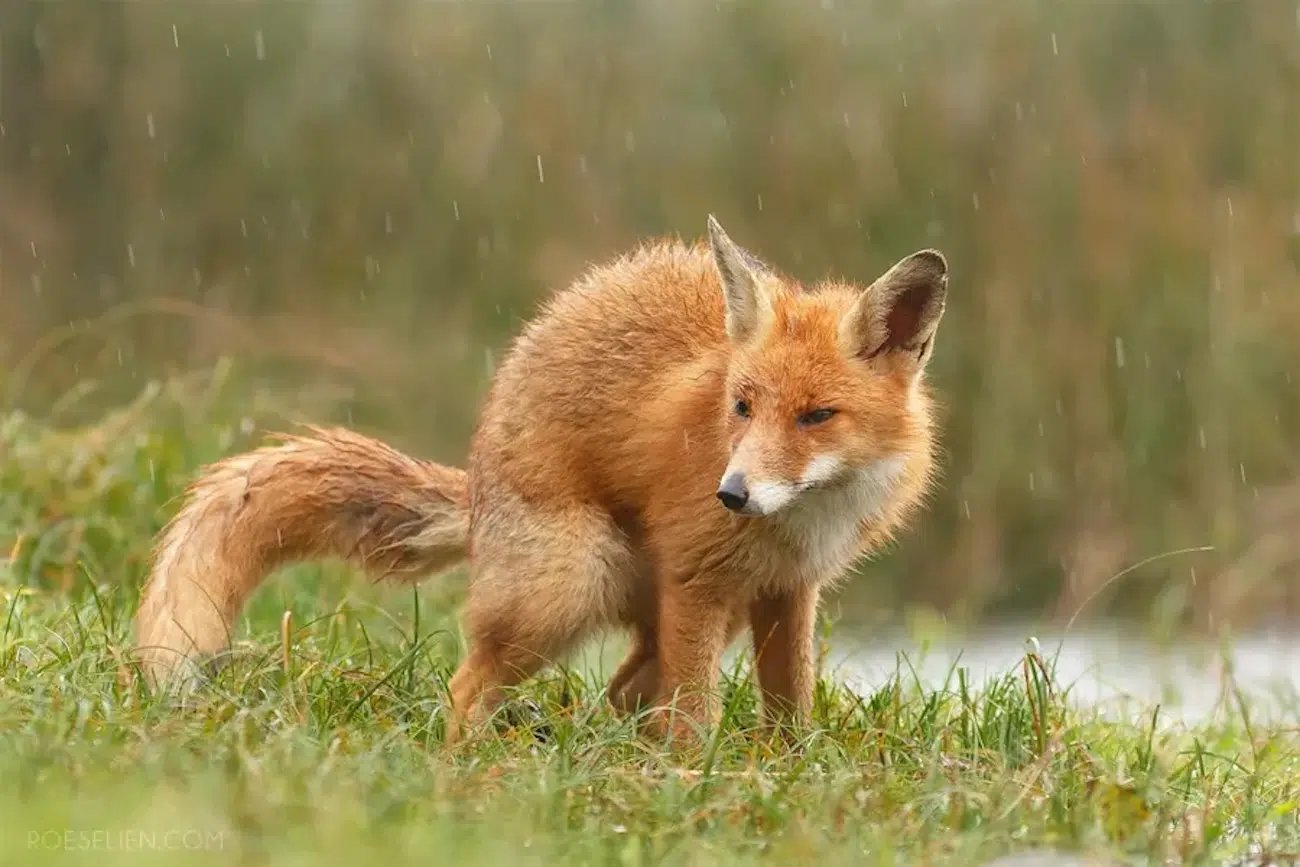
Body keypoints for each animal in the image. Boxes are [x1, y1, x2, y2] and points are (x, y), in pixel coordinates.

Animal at [132, 215, 949, 745]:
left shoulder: (788, 590)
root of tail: (475, 488)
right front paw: (695, 782)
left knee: (622, 691)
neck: (804, 520)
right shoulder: (699, 578)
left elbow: (790, 707)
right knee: (470, 685)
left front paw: (781, 771)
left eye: (816, 416)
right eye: (743, 406)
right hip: (571, 583)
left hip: (691, 609)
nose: (733, 494)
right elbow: (694, 716)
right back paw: (469, 770)